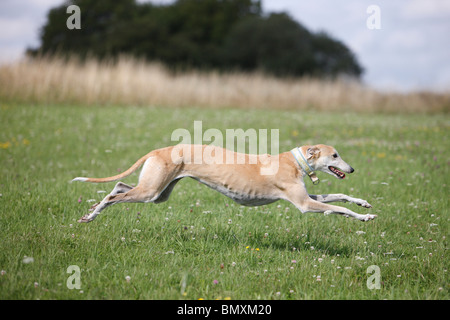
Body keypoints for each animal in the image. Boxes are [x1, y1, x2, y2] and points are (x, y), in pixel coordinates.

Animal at [73, 144, 376, 222]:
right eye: (335, 155)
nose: (351, 168)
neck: (295, 161)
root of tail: (159, 150)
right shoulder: (303, 203)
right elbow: (339, 208)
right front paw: (364, 217)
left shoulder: (308, 198)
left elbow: (338, 198)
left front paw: (363, 203)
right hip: (151, 190)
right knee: (115, 195)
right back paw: (93, 215)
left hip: (159, 192)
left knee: (119, 187)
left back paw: (91, 212)